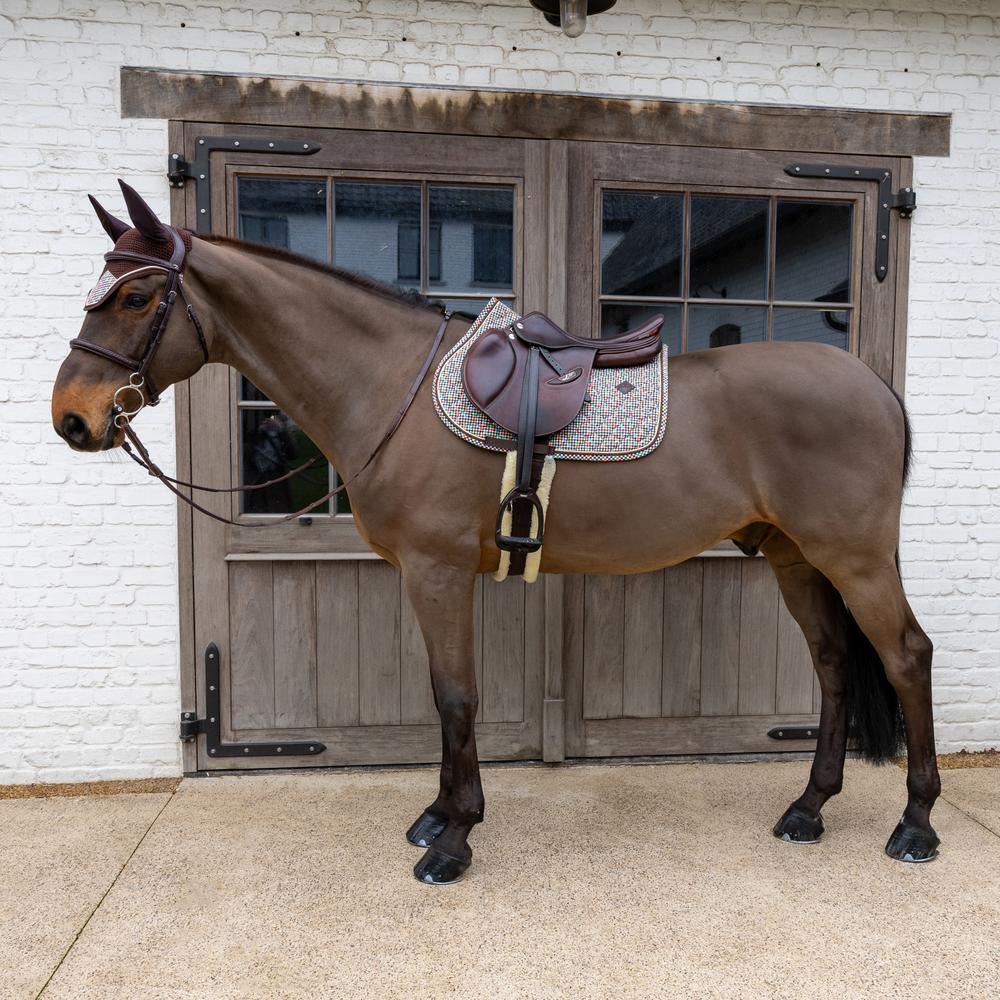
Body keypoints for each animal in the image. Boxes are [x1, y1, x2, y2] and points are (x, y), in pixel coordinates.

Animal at [51, 182, 941, 884]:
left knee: (905, 656)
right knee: (833, 665)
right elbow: (444, 696)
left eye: (135, 299)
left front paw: (454, 839)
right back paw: (809, 808)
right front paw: (436, 815)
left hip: (854, 559)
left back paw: (915, 824)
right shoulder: (428, 577)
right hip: (795, 558)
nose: (73, 418)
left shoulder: (437, 571)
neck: (394, 389)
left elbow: (456, 697)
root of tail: (875, 386)